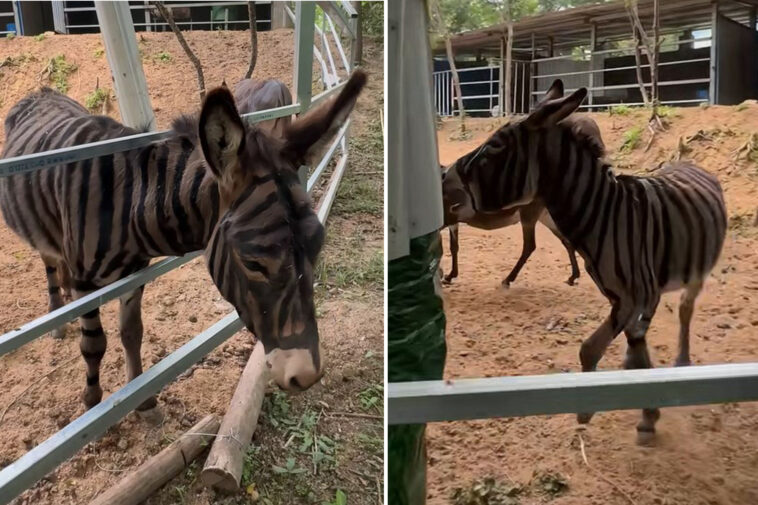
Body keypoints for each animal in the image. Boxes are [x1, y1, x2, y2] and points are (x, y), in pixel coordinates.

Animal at [0, 70, 367, 412]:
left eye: (318, 244)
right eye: (252, 262)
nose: (306, 376)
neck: (126, 208)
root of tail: (41, 92)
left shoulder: (133, 277)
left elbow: (131, 333)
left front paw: (142, 399)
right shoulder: (86, 285)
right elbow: (94, 345)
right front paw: (92, 400)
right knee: (48, 258)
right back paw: (57, 311)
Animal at [441, 80, 606, 287]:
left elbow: (450, 246)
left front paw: (448, 276)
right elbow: (452, 246)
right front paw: (449, 275)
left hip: (530, 214)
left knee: (530, 245)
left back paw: (508, 279)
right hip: (544, 216)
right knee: (565, 241)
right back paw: (572, 276)